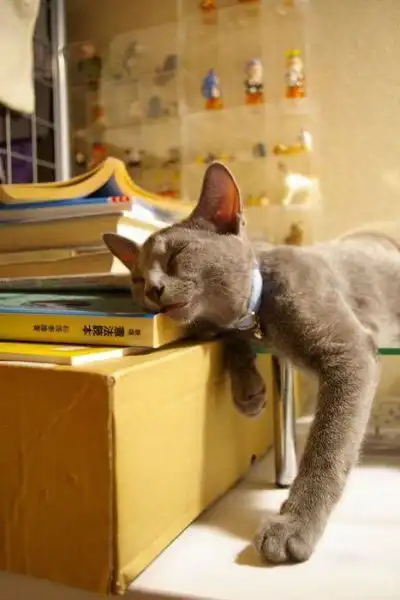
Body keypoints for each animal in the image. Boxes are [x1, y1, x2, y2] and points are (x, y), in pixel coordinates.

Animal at [103, 161, 400, 565]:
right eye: (135, 278)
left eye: (177, 253)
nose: (151, 288)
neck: (261, 315)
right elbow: (228, 338)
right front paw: (249, 393)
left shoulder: (348, 351)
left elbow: (327, 447)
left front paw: (293, 525)